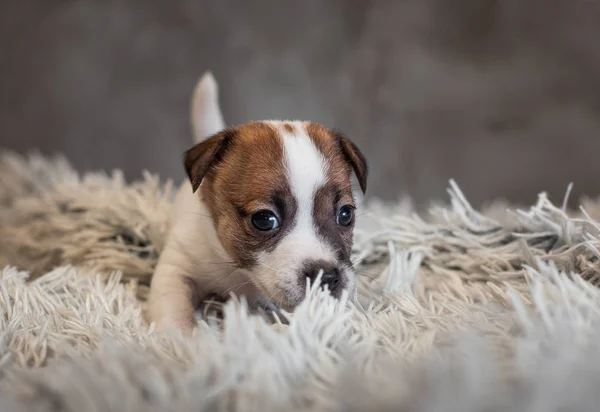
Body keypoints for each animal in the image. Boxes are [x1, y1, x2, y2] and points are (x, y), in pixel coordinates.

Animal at [148, 72, 368, 334]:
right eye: (264, 219)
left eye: (345, 215)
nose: (325, 277)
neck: (241, 273)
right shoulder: (176, 269)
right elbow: (174, 311)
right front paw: (180, 338)